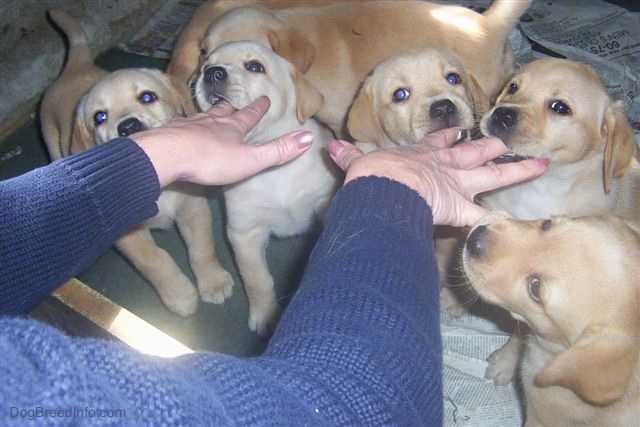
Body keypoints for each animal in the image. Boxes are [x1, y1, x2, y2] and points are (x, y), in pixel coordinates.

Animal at [73, 68, 232, 318]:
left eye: (147, 97)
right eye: (99, 117)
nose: (128, 127)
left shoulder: (193, 209)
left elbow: (202, 248)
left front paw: (214, 281)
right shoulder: (129, 236)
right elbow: (156, 261)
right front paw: (181, 296)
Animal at [195, 40, 342, 336]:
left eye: (254, 66)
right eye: (205, 65)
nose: (212, 73)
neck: (271, 163)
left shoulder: (323, 201)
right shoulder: (244, 234)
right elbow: (258, 280)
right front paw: (265, 315)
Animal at [462, 211, 640, 427]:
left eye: (535, 288)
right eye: (547, 224)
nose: (476, 239)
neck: (551, 351)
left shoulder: (539, 417)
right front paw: (504, 362)